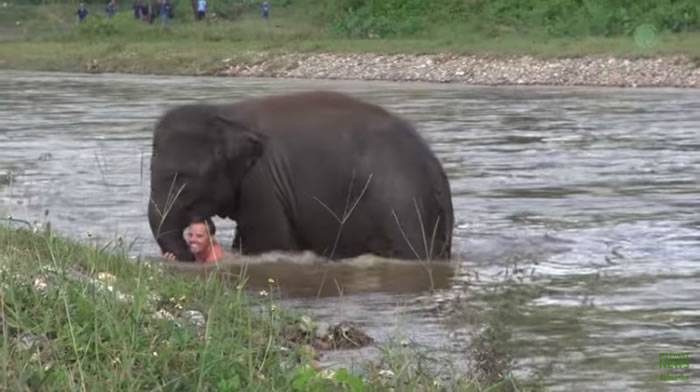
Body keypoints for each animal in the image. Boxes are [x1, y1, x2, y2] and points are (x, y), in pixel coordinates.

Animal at [148, 90, 454, 262]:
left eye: (184, 177)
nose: (188, 252)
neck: (226, 113)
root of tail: (436, 170)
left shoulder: (263, 184)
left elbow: (267, 242)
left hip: (403, 208)